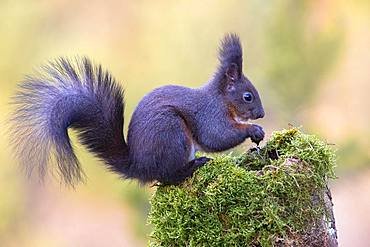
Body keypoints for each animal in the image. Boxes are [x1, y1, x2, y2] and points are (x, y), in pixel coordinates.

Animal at [10, 33, 264, 186]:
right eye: (247, 96)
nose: (261, 114)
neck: (222, 100)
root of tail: (139, 167)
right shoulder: (210, 114)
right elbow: (217, 136)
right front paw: (253, 130)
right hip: (172, 134)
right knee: (168, 177)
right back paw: (193, 166)